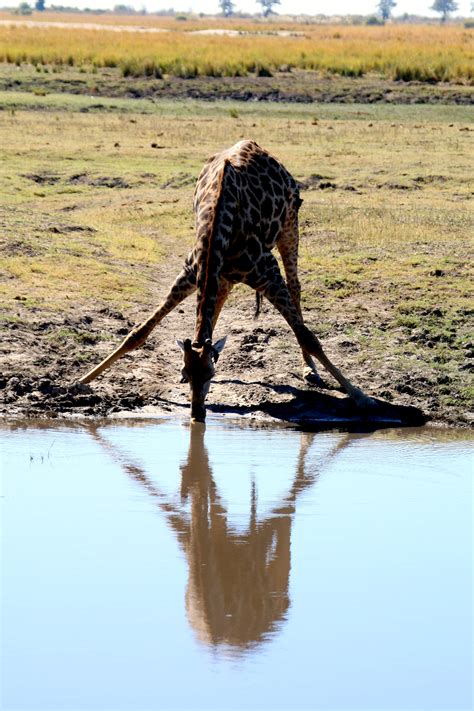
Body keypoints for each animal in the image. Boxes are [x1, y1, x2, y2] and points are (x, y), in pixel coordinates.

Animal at [78, 138, 374, 420]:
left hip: (290, 225)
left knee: (295, 288)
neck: (218, 225)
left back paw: (310, 370)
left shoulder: (267, 271)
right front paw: (80, 381)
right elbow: (138, 332)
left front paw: (361, 397)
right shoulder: (191, 273)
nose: (197, 413)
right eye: (185, 373)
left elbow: (307, 336)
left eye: (210, 375)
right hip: (226, 274)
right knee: (220, 299)